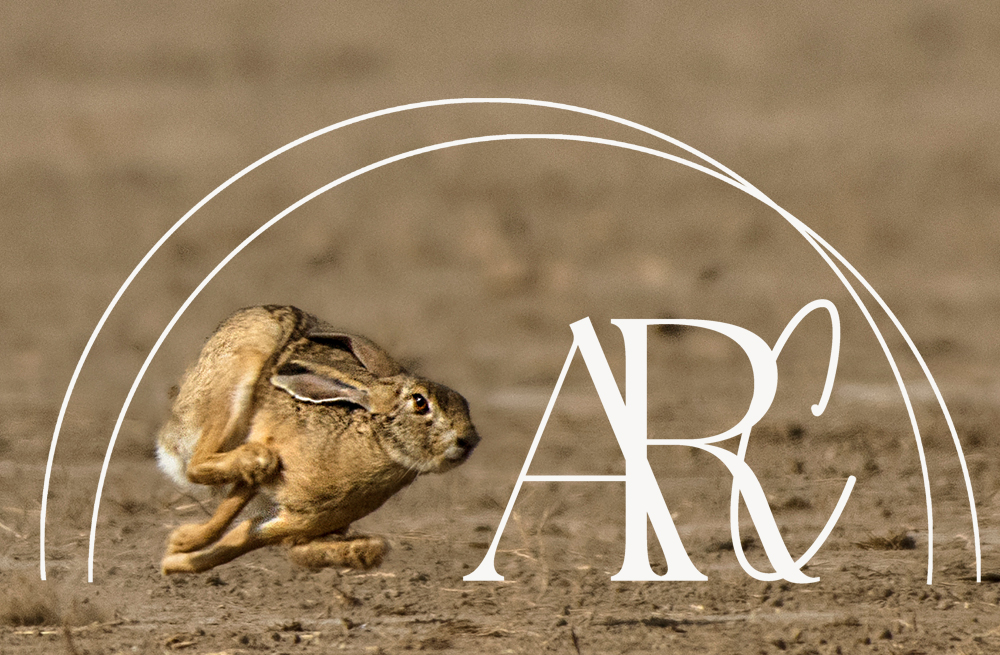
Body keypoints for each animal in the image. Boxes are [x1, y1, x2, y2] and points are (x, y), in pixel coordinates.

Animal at [156, 305, 479, 574]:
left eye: (465, 403)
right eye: (420, 402)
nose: (469, 440)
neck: (377, 443)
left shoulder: (297, 519)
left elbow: (236, 540)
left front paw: (175, 562)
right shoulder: (267, 467)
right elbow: (226, 513)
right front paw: (180, 543)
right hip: (236, 376)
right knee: (197, 465)